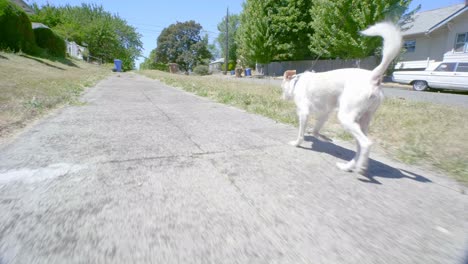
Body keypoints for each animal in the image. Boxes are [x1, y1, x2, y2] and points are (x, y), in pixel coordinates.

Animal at [282, 22, 402, 175]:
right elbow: (315, 130)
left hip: (346, 117)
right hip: (363, 120)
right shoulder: (324, 114)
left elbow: (301, 134)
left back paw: (360, 167)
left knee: (366, 143)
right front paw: (324, 138)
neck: (297, 82)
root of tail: (372, 77)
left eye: (282, 87)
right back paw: (349, 166)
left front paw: (297, 143)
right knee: (359, 146)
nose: (282, 96)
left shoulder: (304, 113)